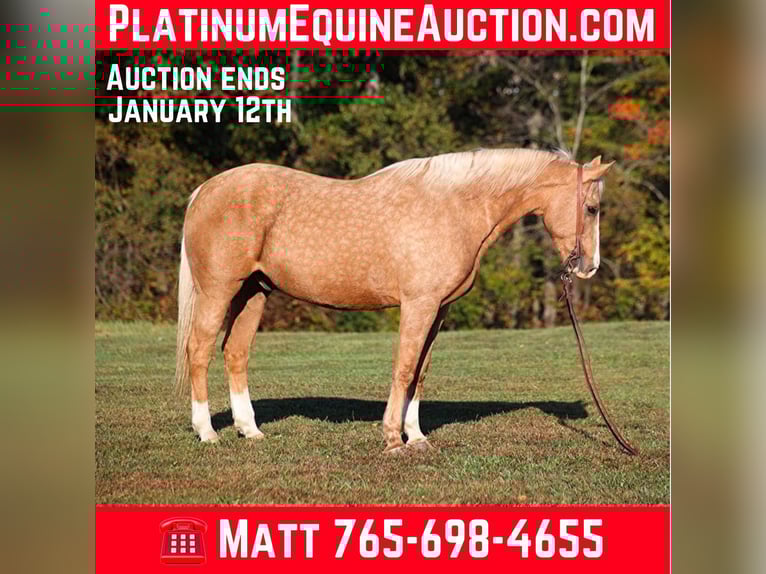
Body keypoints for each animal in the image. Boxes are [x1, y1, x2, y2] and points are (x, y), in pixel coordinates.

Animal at [175, 148, 614, 453]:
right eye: (591, 208)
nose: (589, 267)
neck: (454, 207)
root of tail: (204, 191)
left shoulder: (439, 309)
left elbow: (420, 372)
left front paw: (416, 436)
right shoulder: (419, 305)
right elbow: (404, 368)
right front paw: (392, 438)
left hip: (254, 291)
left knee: (235, 352)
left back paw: (250, 430)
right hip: (219, 290)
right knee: (199, 350)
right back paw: (207, 432)